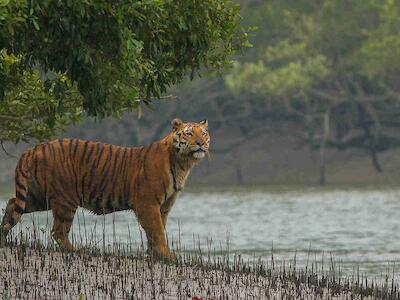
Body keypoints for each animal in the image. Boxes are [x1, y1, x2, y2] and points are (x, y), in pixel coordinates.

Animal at [0, 118, 211, 258]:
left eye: (204, 133)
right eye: (189, 133)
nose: (201, 143)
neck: (183, 163)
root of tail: (32, 149)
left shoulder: (164, 207)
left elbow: (157, 230)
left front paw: (154, 255)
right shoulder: (148, 204)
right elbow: (157, 230)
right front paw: (167, 256)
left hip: (37, 196)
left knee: (11, 204)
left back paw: (2, 236)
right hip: (65, 199)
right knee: (58, 231)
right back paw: (79, 251)